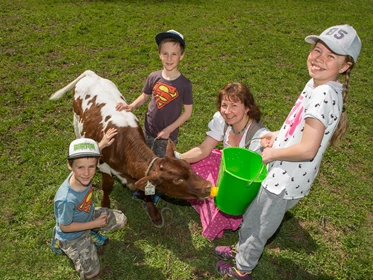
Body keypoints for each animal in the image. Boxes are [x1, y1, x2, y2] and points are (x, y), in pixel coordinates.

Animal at [49, 70, 211, 228]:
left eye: (189, 166)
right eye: (177, 180)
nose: (208, 186)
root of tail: (91, 74)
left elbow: (146, 191)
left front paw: (154, 213)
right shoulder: (105, 165)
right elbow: (107, 185)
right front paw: (105, 204)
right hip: (76, 120)